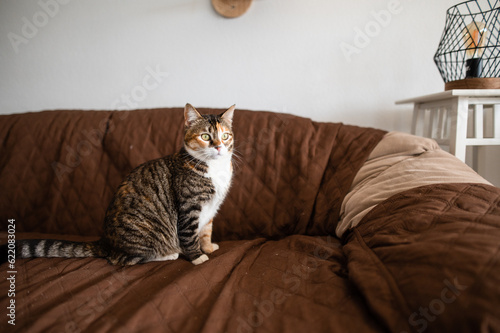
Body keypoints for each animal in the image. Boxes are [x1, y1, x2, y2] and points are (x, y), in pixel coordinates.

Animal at [5, 103, 236, 264]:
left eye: (225, 136)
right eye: (205, 136)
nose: (218, 147)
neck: (215, 169)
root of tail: (105, 242)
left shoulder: (210, 209)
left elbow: (205, 230)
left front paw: (208, 247)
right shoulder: (189, 207)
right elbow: (189, 235)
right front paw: (197, 257)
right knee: (126, 259)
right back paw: (168, 254)